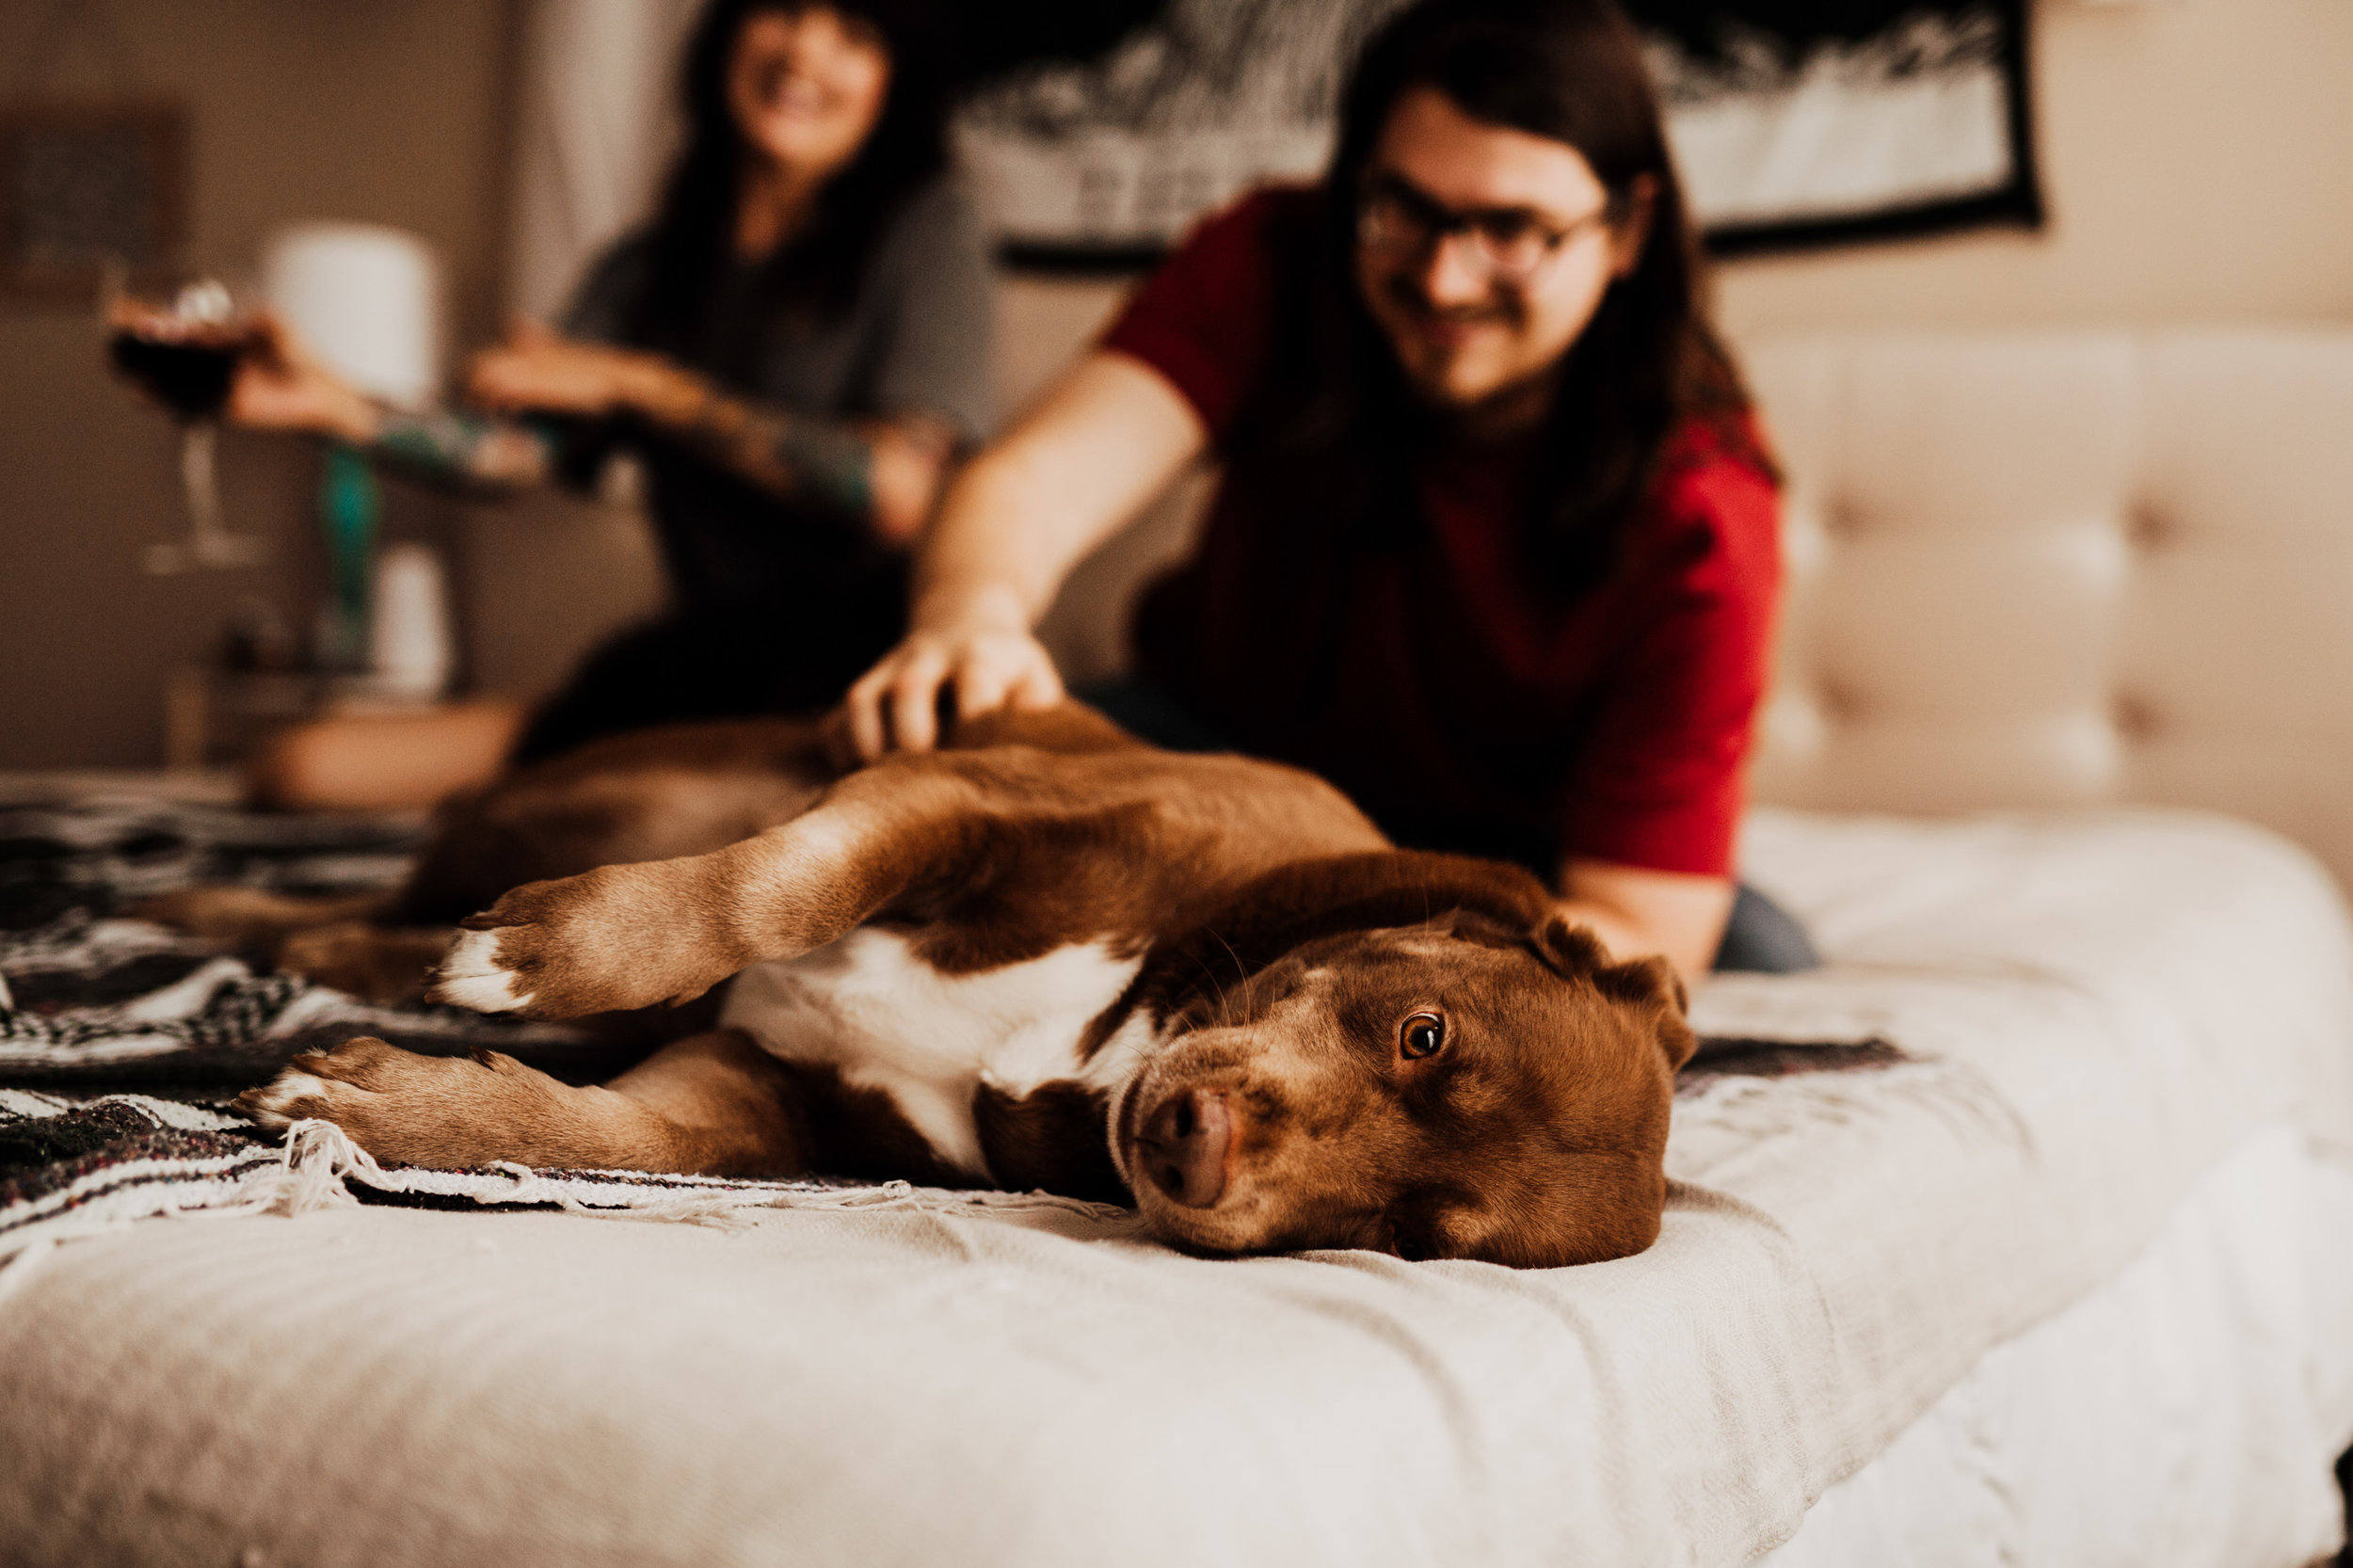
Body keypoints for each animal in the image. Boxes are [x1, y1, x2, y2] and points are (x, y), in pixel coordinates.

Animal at [161, 701, 1694, 1261]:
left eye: (1409, 1239)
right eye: (1424, 1033)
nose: (1195, 1149)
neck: (1104, 1043)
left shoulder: (755, 1086)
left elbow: (596, 1130)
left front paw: (390, 1108)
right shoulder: (962, 797)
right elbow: (774, 888)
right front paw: (544, 959)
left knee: (374, 924)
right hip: (568, 812)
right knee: (387, 892)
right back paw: (222, 906)